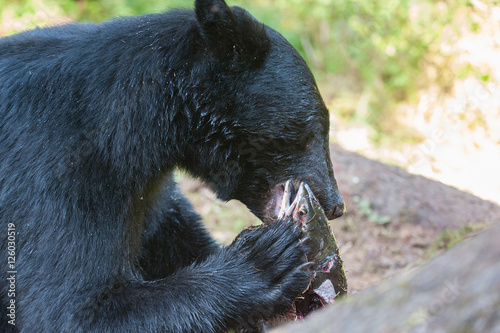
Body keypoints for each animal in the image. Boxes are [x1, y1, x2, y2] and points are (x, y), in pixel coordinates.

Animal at [0, 1, 344, 330]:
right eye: (317, 128)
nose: (335, 205)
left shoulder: (148, 189)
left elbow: (170, 231)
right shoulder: (55, 165)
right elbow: (70, 308)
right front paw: (265, 262)